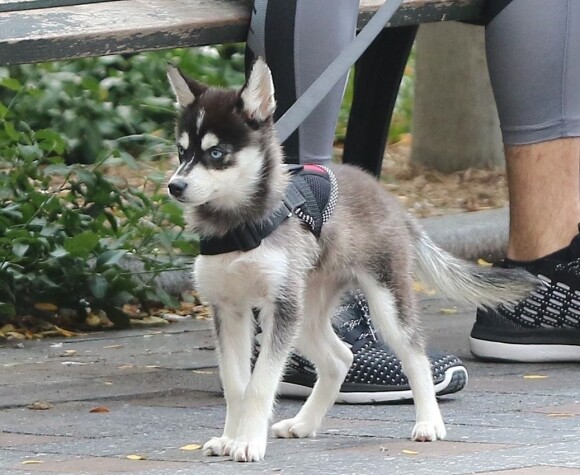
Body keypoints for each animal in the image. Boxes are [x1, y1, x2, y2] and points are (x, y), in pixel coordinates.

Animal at [165, 57, 536, 462]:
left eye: (216, 153)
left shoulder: (281, 305)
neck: (238, 226)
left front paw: (247, 442)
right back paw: (304, 423)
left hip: (381, 302)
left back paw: (428, 423)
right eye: (182, 152)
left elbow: (261, 383)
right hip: (306, 314)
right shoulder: (229, 309)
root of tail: (389, 199)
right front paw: (229, 438)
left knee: (415, 356)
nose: (174, 186)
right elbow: (236, 385)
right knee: (341, 358)